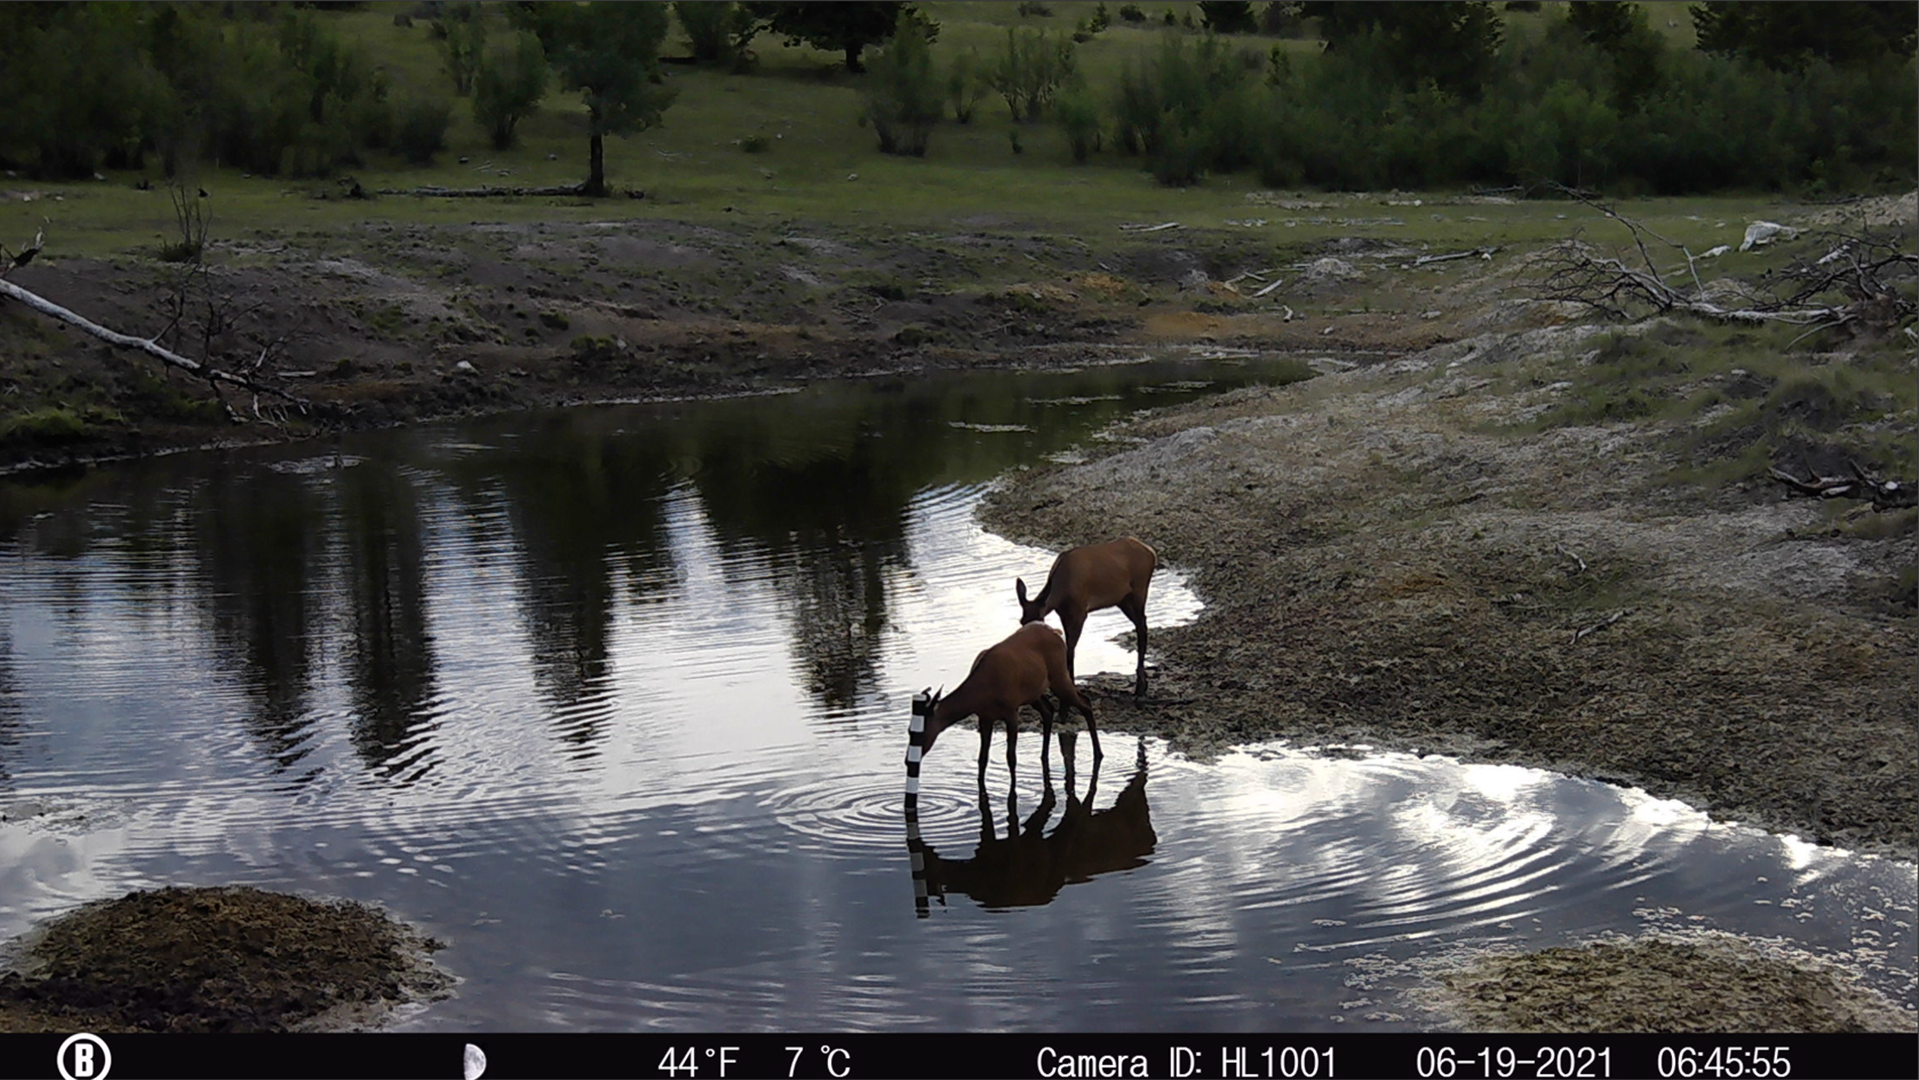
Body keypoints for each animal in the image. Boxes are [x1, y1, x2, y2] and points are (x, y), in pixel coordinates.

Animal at [905, 617, 1105, 794]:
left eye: (918, 731)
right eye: (909, 730)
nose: (908, 760)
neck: (982, 693)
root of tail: (1056, 632)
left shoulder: (1011, 710)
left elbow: (1011, 757)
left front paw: (1013, 789)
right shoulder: (984, 717)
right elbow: (982, 757)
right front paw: (980, 784)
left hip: (1058, 675)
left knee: (1085, 703)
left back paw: (1099, 753)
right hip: (1034, 692)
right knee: (1049, 710)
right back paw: (1043, 756)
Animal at [1013, 537, 1159, 698]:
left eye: (1041, 618)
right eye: (1021, 621)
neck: (1061, 593)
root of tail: (1151, 552)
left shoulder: (1080, 612)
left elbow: (1070, 649)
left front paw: (1073, 685)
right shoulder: (1064, 614)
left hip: (1139, 590)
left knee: (1142, 625)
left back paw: (1140, 686)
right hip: (1123, 599)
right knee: (1141, 623)